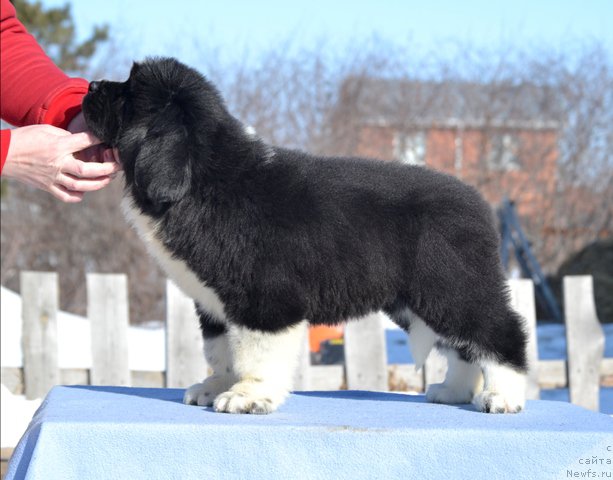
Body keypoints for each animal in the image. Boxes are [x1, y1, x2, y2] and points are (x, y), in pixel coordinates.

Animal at [83, 58, 528, 414]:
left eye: (127, 94)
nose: (89, 86)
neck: (203, 181)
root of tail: (477, 201)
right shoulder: (215, 304)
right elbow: (222, 351)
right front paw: (216, 386)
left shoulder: (263, 300)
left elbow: (255, 354)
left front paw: (247, 396)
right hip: (421, 301)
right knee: (463, 345)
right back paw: (454, 391)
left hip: (452, 287)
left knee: (499, 332)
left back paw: (504, 396)